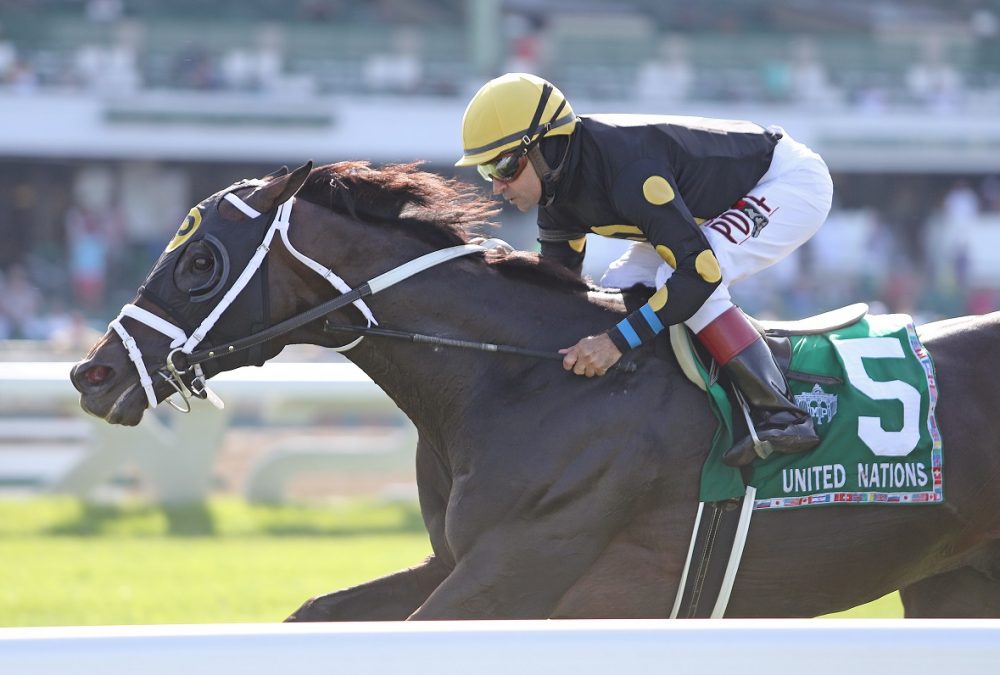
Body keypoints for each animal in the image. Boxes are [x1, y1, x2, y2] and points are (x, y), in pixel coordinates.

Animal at [70, 161, 1000, 620]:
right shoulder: (459, 561)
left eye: (200, 260)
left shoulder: (520, 571)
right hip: (951, 582)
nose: (92, 373)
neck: (512, 375)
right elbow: (314, 611)